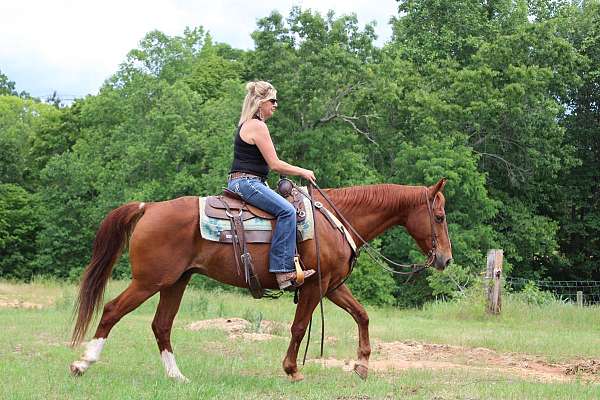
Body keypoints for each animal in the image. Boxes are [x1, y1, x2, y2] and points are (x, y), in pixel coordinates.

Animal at [69, 178, 450, 382]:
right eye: (439, 216)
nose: (446, 259)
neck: (335, 220)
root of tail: (149, 207)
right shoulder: (312, 287)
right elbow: (299, 327)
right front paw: (292, 370)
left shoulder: (332, 286)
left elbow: (362, 315)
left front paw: (362, 365)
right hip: (149, 281)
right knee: (112, 310)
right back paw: (82, 363)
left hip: (175, 282)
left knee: (161, 325)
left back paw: (177, 376)